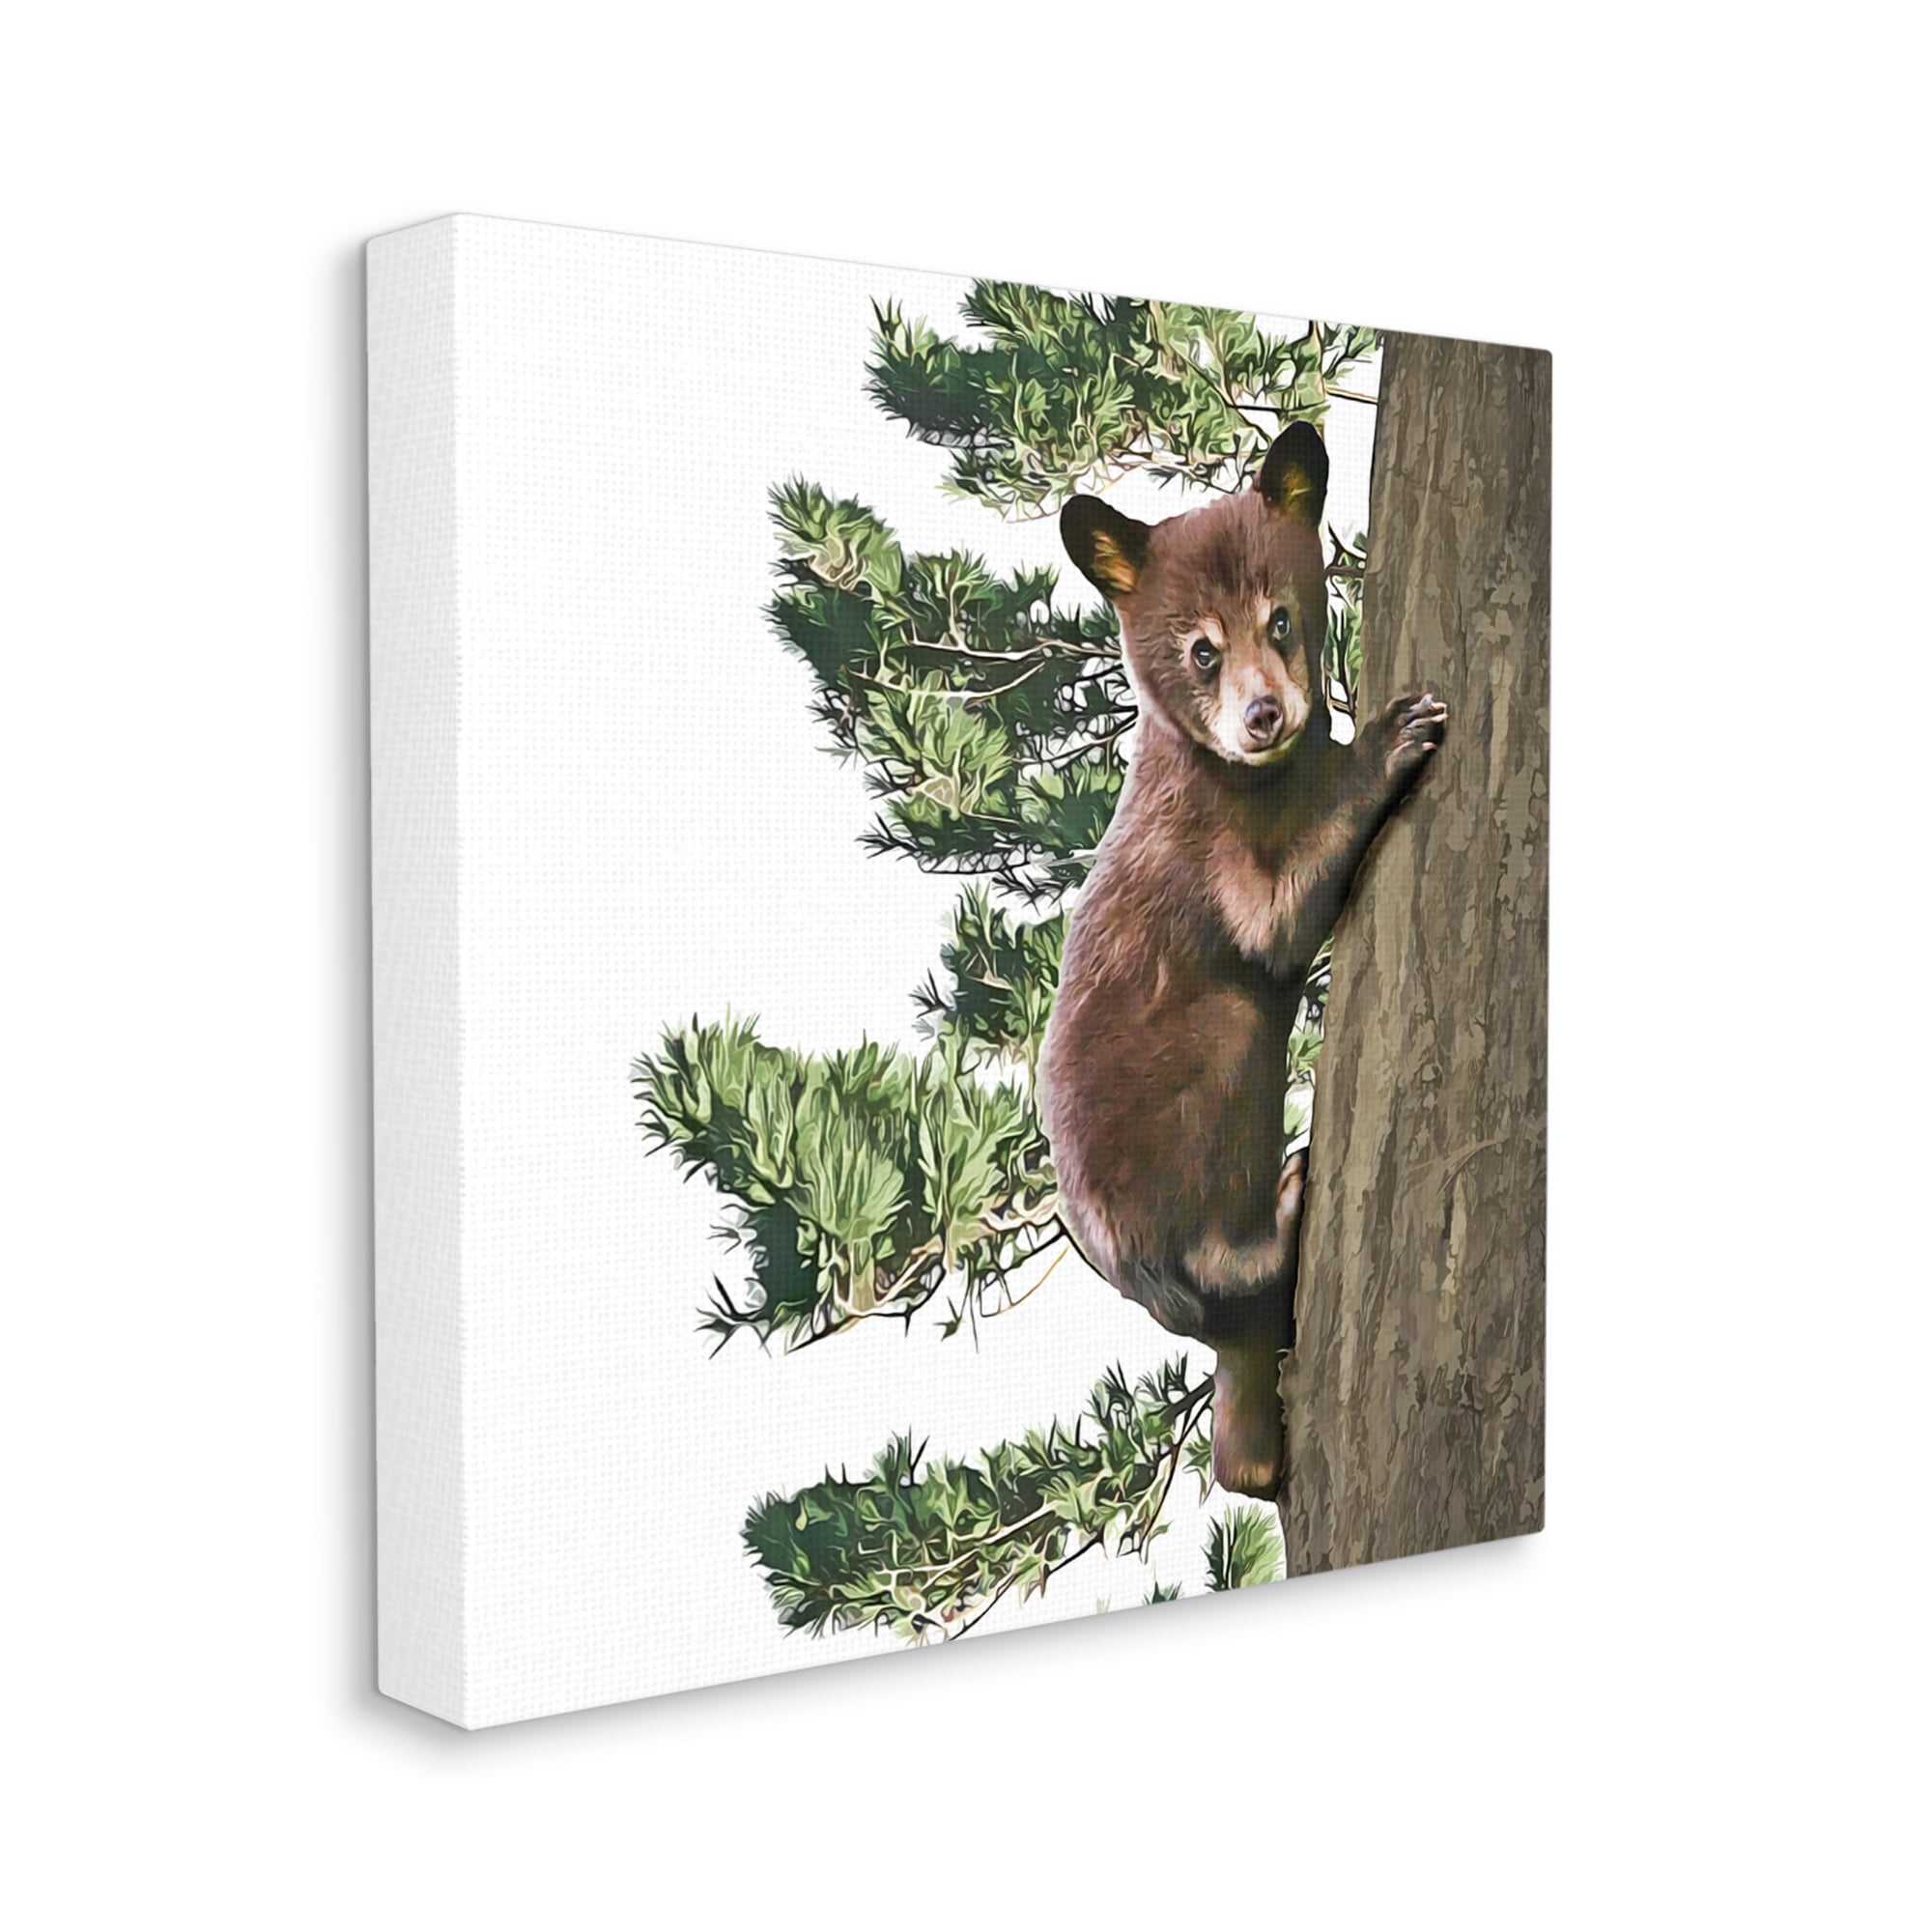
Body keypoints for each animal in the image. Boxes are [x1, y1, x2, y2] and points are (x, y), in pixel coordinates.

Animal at [1040, 421, 1447, 1500]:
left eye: (1282, 619)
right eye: (1200, 648)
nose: (1263, 715)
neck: (1254, 775)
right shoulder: (1199, 846)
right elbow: (1271, 921)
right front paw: (1393, 735)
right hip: (1173, 1140)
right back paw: (1283, 1211)